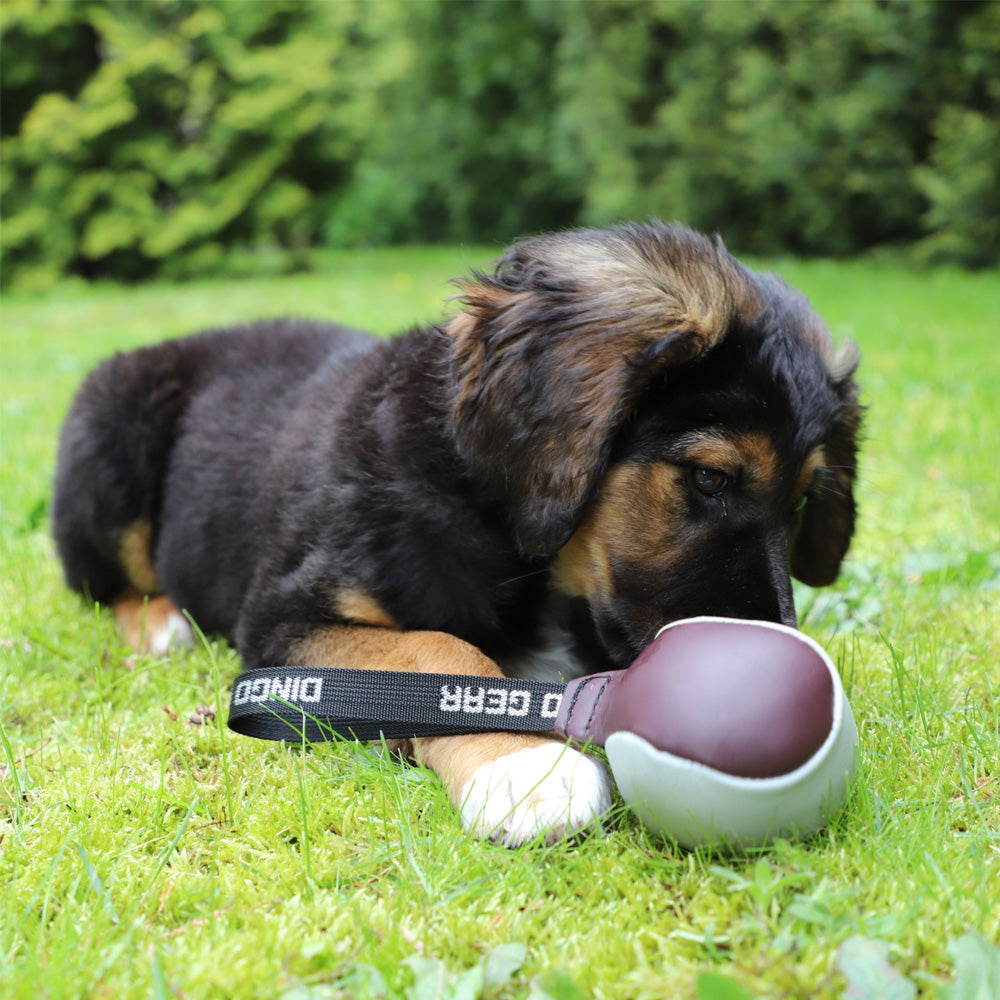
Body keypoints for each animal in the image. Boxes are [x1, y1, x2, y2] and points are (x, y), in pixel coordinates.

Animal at [52, 225, 860, 844]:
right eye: (710, 478)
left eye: (802, 501)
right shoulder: (286, 616)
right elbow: (436, 648)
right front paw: (521, 766)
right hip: (109, 442)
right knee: (103, 584)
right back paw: (160, 623)